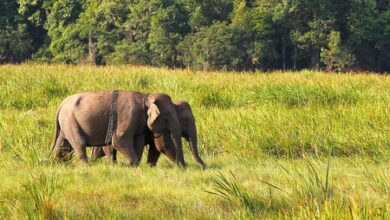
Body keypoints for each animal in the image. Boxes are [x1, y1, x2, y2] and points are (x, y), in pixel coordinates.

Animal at [49, 90, 186, 167]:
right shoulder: (129, 114)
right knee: (79, 143)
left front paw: (132, 165)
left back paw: (56, 163)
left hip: (66, 124)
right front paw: (127, 165)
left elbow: (138, 141)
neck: (145, 97)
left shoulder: (138, 122)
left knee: (62, 145)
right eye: (167, 116)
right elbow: (119, 139)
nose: (184, 167)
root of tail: (60, 105)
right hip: (70, 121)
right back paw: (86, 166)